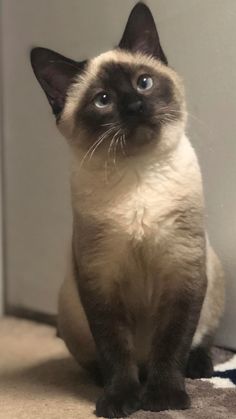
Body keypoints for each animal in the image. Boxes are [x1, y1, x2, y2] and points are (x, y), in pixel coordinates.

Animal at [30, 1, 224, 418]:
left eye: (143, 83)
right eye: (103, 100)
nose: (135, 106)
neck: (138, 175)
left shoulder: (182, 273)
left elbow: (172, 344)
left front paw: (164, 398)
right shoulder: (100, 282)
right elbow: (115, 351)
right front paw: (121, 400)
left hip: (213, 270)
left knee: (199, 339)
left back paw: (199, 367)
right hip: (68, 300)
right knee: (96, 359)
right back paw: (103, 381)